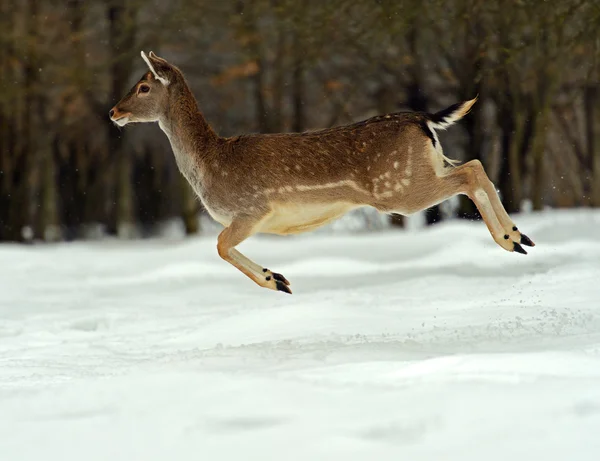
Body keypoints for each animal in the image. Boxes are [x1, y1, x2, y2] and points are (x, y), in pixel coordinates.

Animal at [108, 51, 536, 294]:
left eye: (143, 86)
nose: (114, 111)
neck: (209, 165)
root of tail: (423, 120)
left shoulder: (252, 210)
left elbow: (220, 245)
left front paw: (277, 280)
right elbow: (221, 246)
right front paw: (278, 279)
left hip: (396, 188)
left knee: (471, 173)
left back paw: (511, 238)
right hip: (427, 167)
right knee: (474, 165)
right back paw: (519, 238)